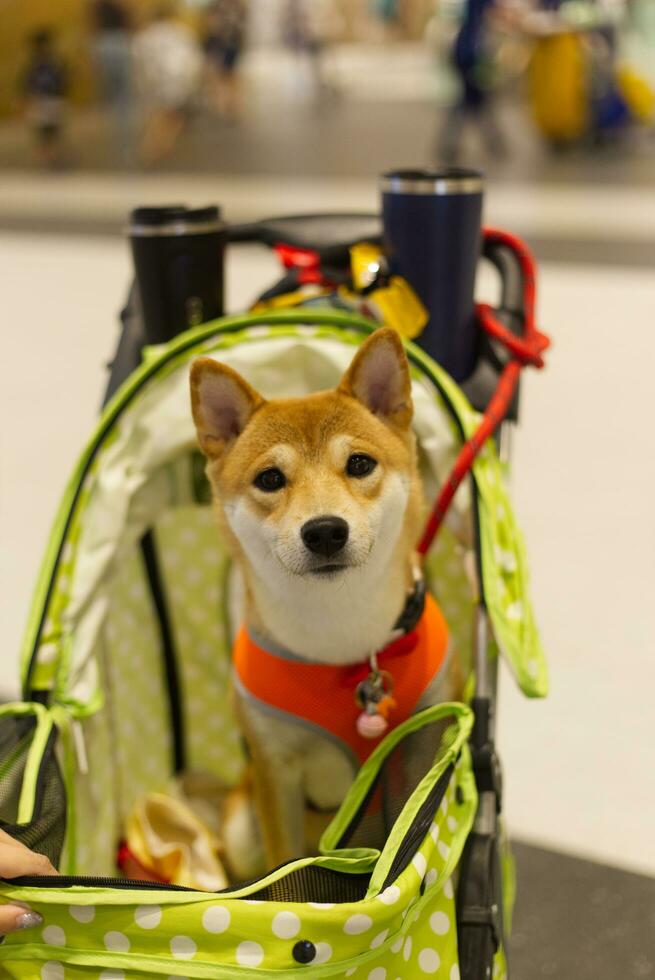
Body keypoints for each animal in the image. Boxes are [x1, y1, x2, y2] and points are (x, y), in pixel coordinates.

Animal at [188, 330, 456, 864]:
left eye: (359, 464)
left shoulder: (419, 747)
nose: (326, 530)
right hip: (241, 825)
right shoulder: (274, 768)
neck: (340, 641)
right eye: (270, 478)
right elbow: (283, 863)